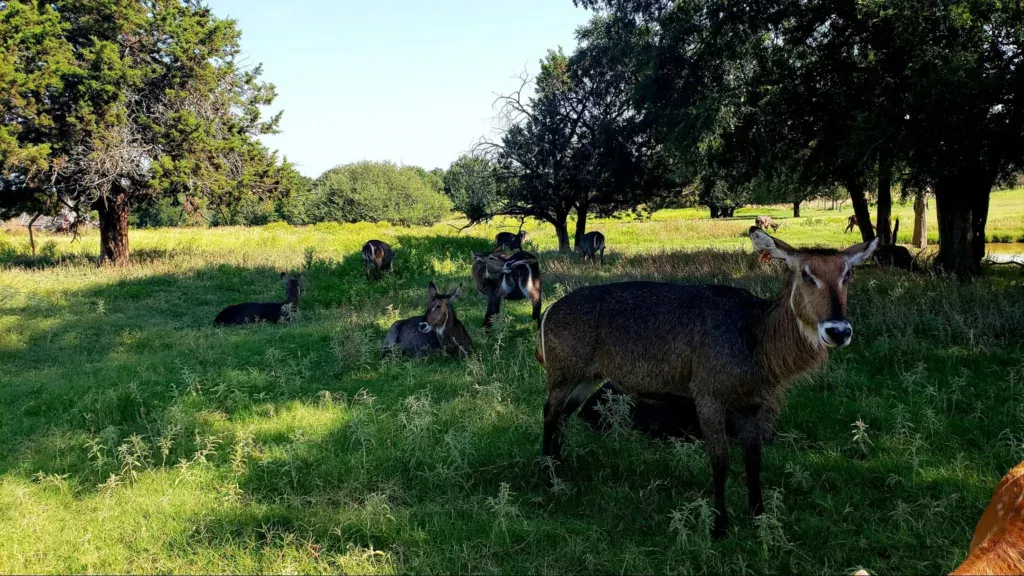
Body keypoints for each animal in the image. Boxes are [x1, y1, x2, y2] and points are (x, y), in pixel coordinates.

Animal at [536, 226, 880, 537]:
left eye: (847, 273)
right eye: (807, 274)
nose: (838, 330)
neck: (757, 341)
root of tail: (549, 310)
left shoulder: (752, 402)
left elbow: (754, 459)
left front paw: (759, 516)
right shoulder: (708, 393)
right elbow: (720, 459)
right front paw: (719, 526)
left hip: (587, 377)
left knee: (564, 415)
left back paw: (561, 469)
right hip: (563, 373)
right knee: (549, 412)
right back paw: (546, 476)